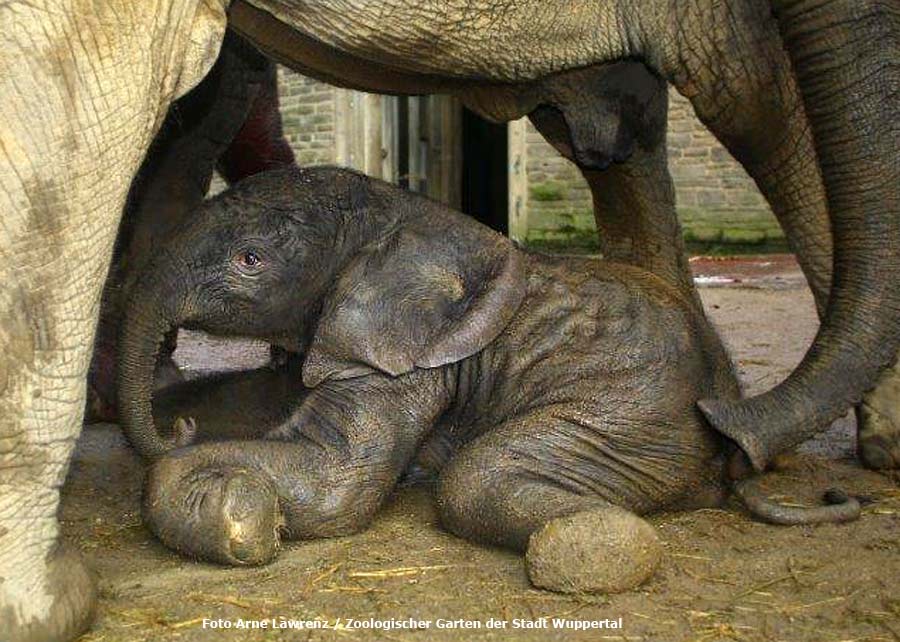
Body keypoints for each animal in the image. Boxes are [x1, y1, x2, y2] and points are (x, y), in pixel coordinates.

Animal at [118, 165, 856, 592]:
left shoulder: (411, 351)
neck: (400, 209)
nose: (176, 429)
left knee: (476, 478)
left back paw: (592, 544)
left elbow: (337, 484)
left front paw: (236, 511)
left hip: (633, 417)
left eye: (249, 260)